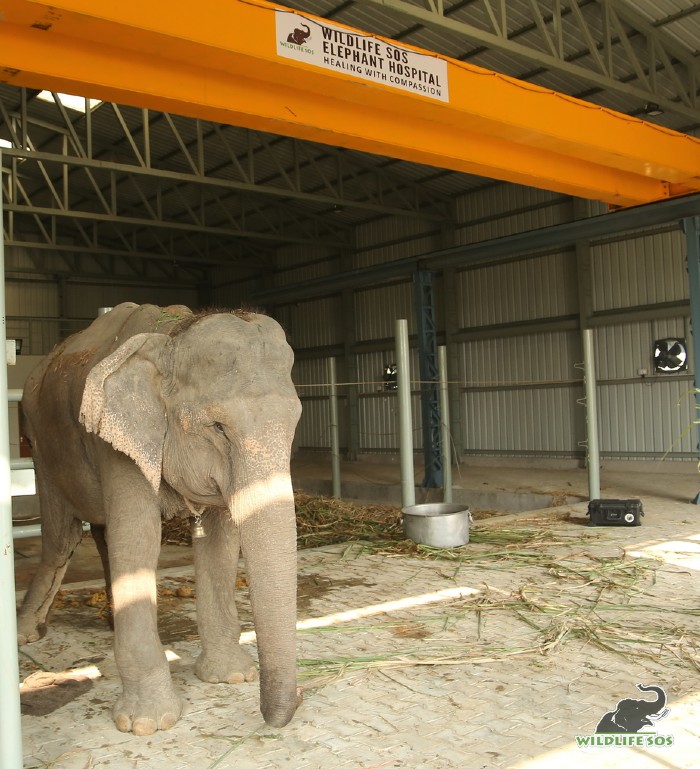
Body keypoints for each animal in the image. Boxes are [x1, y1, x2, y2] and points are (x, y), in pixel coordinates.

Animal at [16, 304, 300, 736]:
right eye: (218, 427)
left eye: (295, 423)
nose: (288, 706)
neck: (171, 334)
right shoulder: (117, 443)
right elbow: (139, 537)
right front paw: (148, 724)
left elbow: (218, 541)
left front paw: (231, 677)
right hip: (41, 445)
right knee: (62, 538)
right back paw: (26, 633)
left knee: (100, 534)